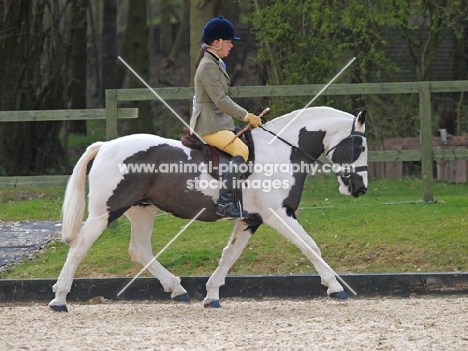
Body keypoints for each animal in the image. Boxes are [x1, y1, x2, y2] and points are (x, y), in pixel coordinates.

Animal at [48, 107, 370, 314]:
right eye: (360, 147)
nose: (361, 188)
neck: (281, 151)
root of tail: (104, 146)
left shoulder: (251, 219)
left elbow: (230, 255)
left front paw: (212, 295)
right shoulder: (277, 214)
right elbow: (310, 246)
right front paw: (335, 287)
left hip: (143, 210)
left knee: (140, 249)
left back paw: (177, 289)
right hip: (106, 211)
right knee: (79, 247)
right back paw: (60, 299)